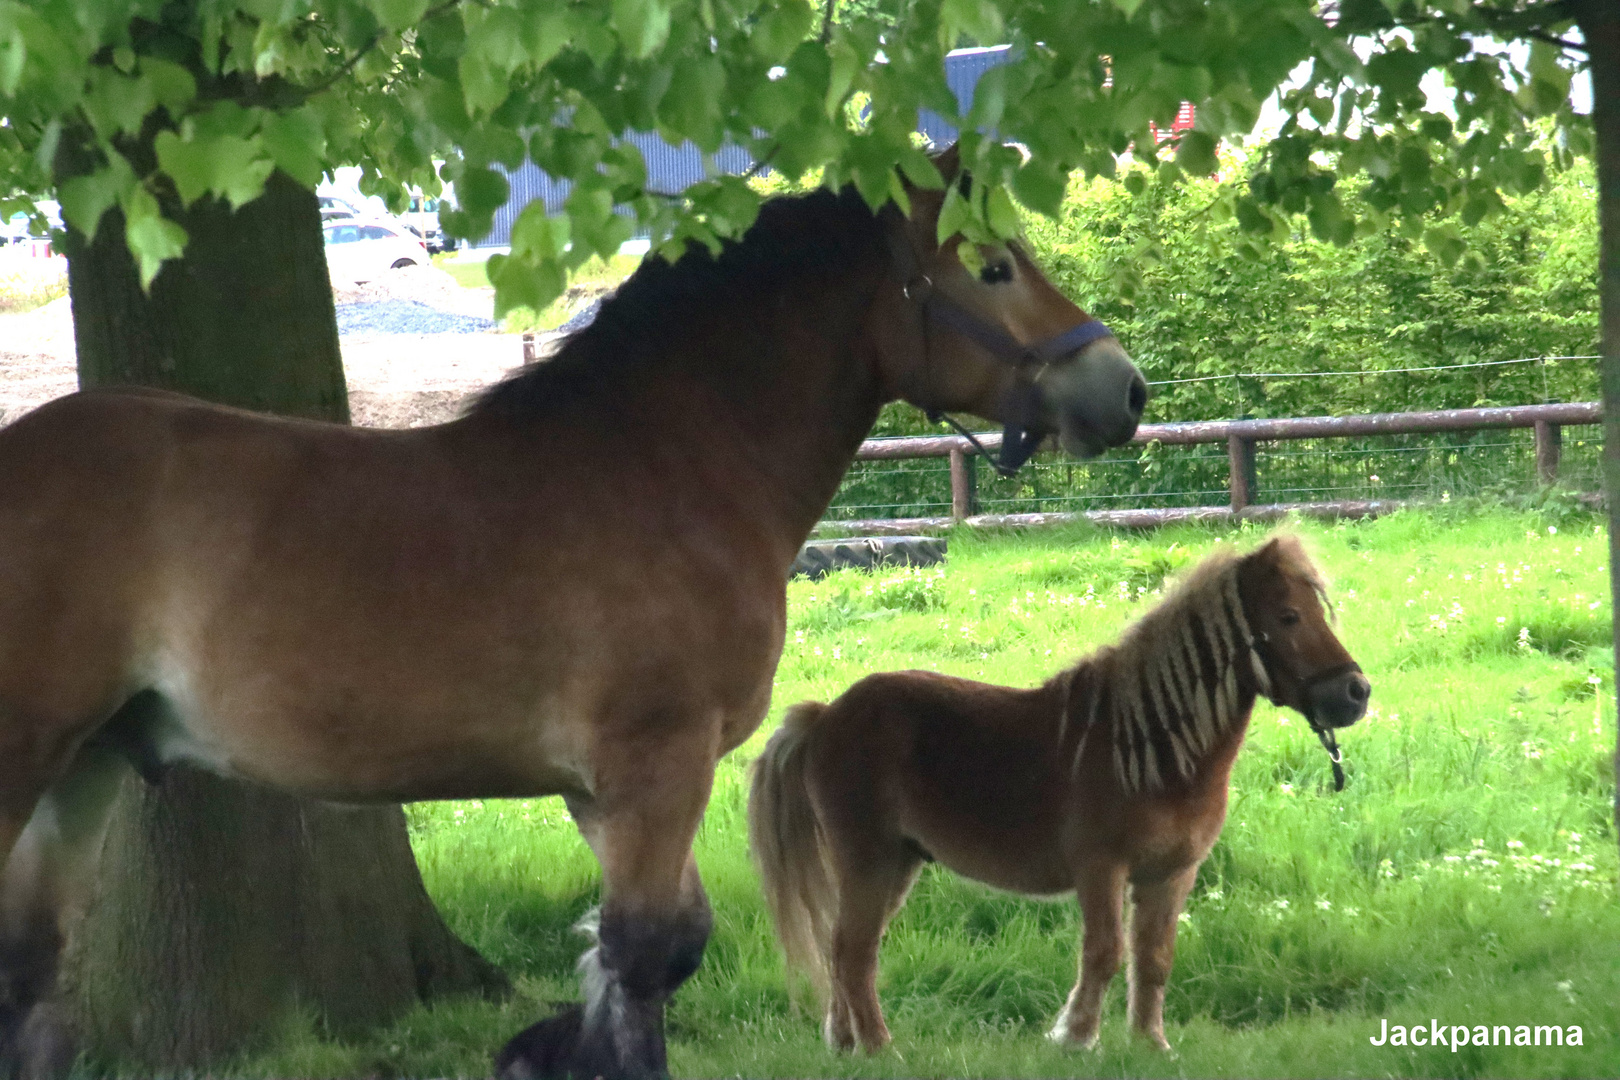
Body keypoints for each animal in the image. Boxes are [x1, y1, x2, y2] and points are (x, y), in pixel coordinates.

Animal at [0, 149, 1146, 1080]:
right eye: (993, 267)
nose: (1125, 389)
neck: (668, 465)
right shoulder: (656, 764)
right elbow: (643, 962)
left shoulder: (602, 792)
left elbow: (658, 948)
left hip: (86, 768)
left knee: (37, 976)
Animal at [745, 537, 1367, 1062]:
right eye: (1288, 616)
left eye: (1319, 611)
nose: (1356, 692)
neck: (1150, 747)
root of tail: (824, 717)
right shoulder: (1100, 869)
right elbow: (1105, 953)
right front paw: (1076, 1037)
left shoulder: (1171, 874)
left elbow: (1153, 959)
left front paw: (1150, 1044)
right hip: (870, 863)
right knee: (853, 955)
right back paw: (880, 1050)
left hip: (895, 866)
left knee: (842, 950)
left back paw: (846, 1043)